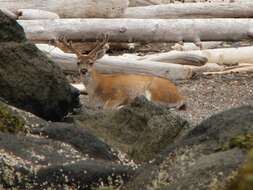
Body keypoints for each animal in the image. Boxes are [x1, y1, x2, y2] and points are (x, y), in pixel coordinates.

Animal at [58, 34, 187, 110]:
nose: (83, 70)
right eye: (78, 62)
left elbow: (106, 107)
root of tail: (180, 96)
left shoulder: (119, 94)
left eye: (91, 62)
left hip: (155, 91)